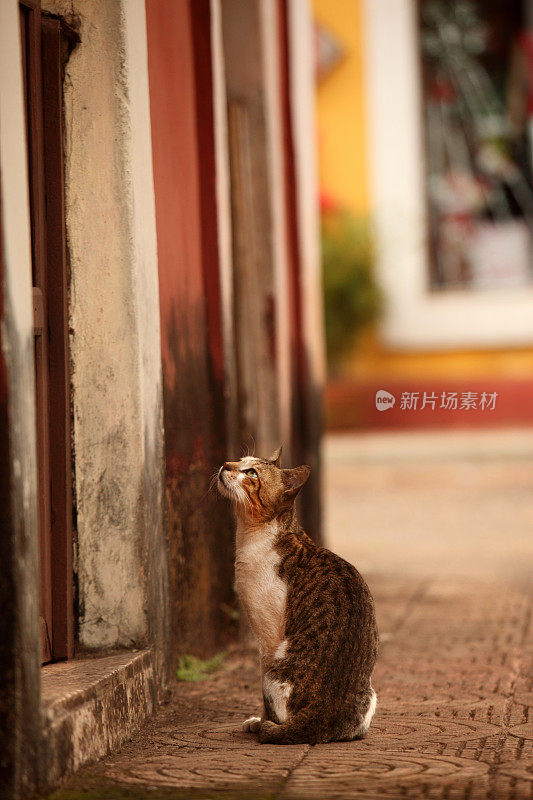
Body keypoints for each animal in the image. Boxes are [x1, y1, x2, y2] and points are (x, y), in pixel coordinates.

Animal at [217, 446, 378, 748]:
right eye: (239, 460)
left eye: (251, 473)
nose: (224, 464)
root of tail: (320, 713)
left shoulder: (267, 636)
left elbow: (264, 705)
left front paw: (259, 721)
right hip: (371, 695)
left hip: (275, 670)